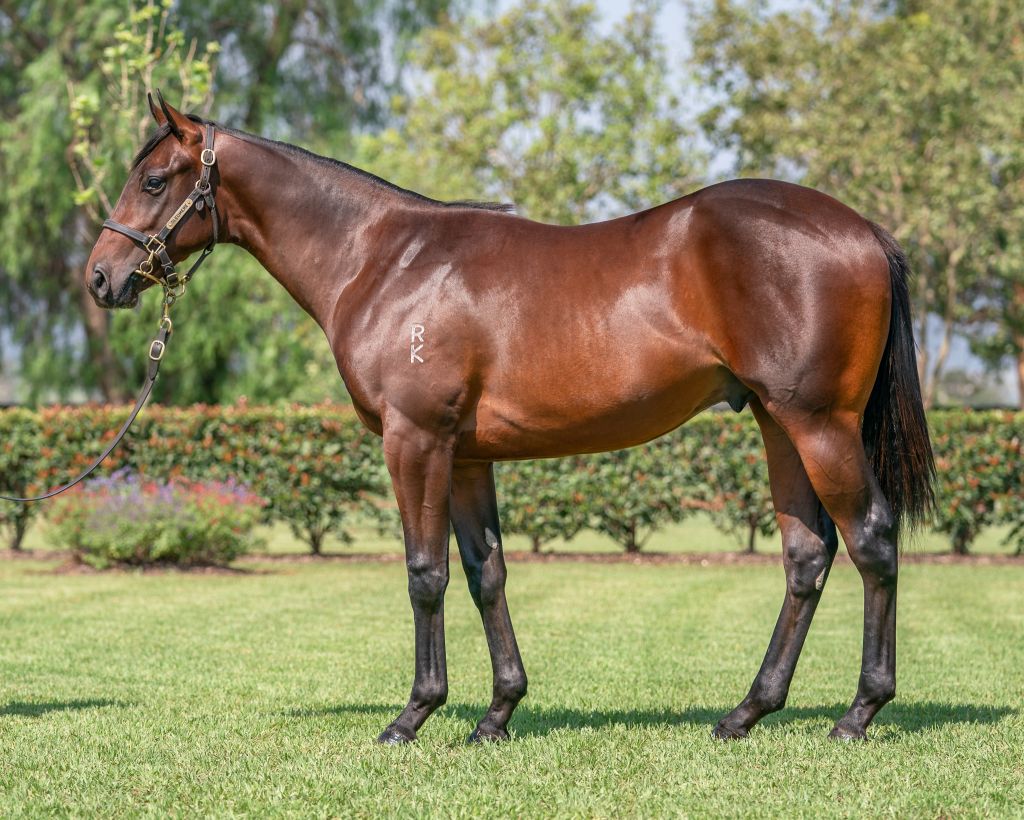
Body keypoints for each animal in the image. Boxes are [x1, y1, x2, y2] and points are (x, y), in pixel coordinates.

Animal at [85, 94, 934, 744]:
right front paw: (495, 715)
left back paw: (858, 714)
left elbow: (425, 575)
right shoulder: (465, 456)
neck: (383, 260)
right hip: (776, 423)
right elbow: (484, 573)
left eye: (154, 179)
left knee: (872, 541)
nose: (100, 278)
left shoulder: (415, 442)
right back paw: (745, 713)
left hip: (819, 424)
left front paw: (413, 716)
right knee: (806, 555)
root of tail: (864, 231)